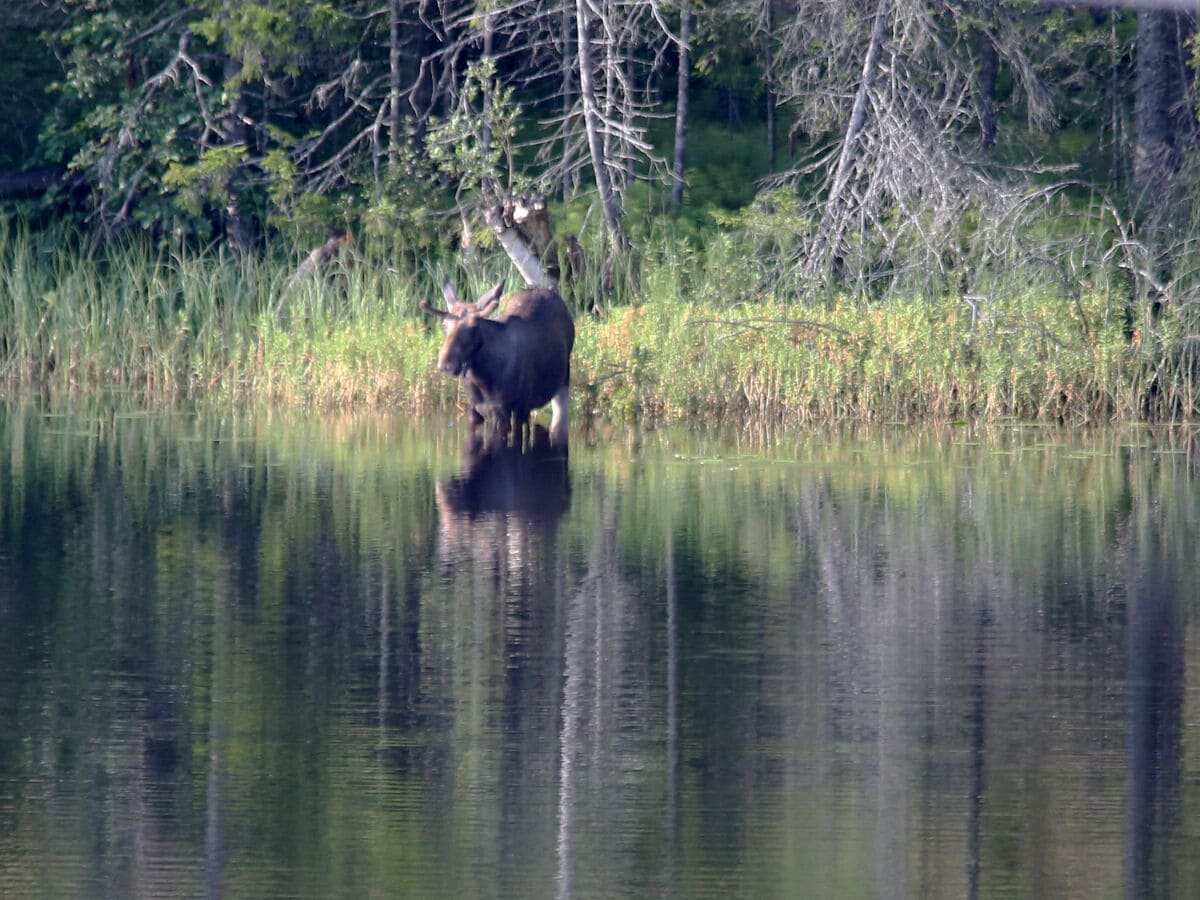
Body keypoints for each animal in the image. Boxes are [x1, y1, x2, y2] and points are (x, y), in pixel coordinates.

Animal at [420, 277, 573, 441]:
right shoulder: (474, 410)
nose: (446, 364)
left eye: (474, 327)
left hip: (561, 383)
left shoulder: (510, 411)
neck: (482, 377)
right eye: (444, 325)